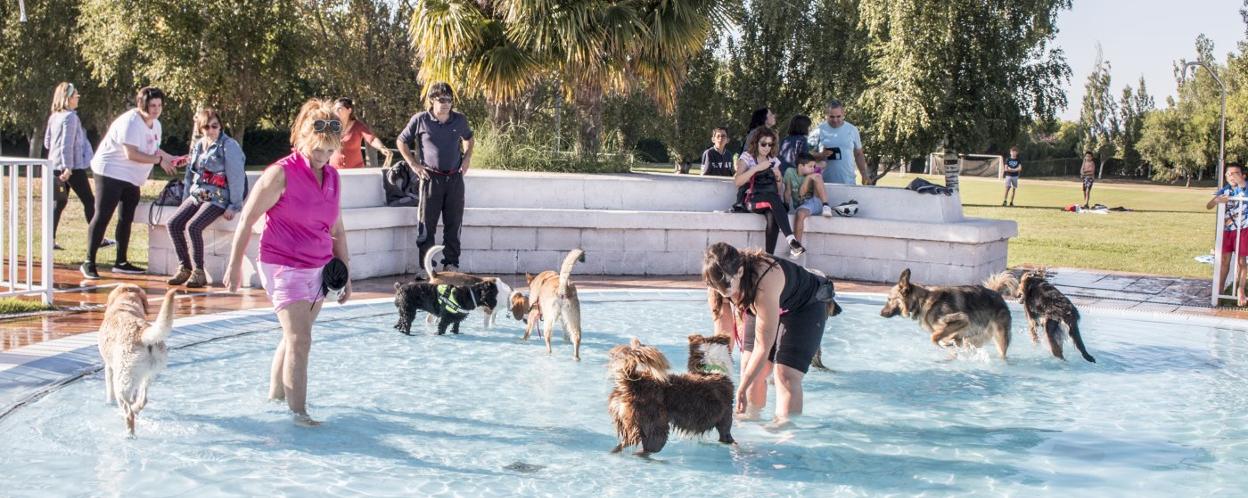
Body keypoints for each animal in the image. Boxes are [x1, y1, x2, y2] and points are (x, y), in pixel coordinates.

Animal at [97, 284, 177, 436]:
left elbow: (109, 391)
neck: (125, 304)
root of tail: (142, 332)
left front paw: (108, 403)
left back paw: (129, 434)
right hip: (148, 375)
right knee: (143, 399)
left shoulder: (108, 367)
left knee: (128, 413)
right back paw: (135, 408)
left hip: (121, 382)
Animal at [883, 269, 1018, 359]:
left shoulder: (962, 319)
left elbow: (935, 337)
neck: (922, 301)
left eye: (889, 299)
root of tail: (996, 294)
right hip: (974, 340)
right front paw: (948, 341)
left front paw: (946, 341)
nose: (881, 313)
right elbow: (942, 336)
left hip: (1000, 340)